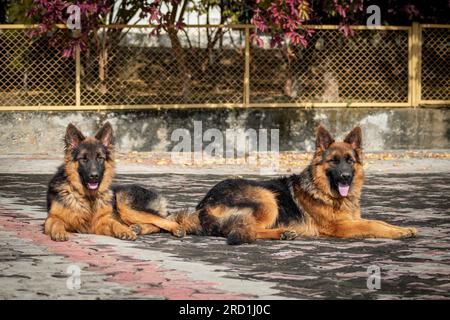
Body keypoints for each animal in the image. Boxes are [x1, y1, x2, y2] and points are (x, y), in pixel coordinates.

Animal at [44, 122, 185, 240]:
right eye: (83, 159)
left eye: (100, 158)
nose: (94, 176)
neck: (87, 196)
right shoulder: (51, 218)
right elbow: (56, 222)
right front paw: (59, 232)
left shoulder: (101, 222)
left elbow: (114, 223)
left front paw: (124, 231)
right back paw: (138, 228)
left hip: (126, 207)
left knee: (160, 220)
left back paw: (175, 228)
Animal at [194, 125, 418, 245]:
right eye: (334, 161)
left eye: (350, 161)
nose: (345, 177)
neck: (325, 192)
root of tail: (204, 203)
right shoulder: (340, 227)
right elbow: (372, 225)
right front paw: (397, 233)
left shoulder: (353, 219)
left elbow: (379, 222)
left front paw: (402, 228)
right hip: (267, 198)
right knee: (244, 228)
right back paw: (281, 233)